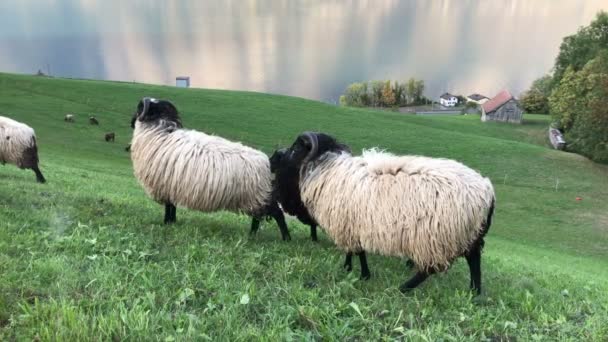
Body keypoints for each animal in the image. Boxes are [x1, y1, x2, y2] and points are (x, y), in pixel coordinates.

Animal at [128, 96, 292, 240]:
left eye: (139, 109)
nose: (131, 122)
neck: (160, 131)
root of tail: (266, 162)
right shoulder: (171, 186)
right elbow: (172, 206)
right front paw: (172, 222)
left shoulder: (165, 184)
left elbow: (169, 207)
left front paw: (167, 223)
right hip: (255, 197)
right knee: (258, 217)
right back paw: (252, 235)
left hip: (258, 194)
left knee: (277, 213)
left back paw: (285, 238)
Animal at [276, 132, 494, 294]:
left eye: (295, 149)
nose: (277, 154)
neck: (329, 170)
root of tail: (486, 189)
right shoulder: (352, 225)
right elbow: (356, 251)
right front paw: (355, 271)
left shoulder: (347, 224)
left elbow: (355, 251)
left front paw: (357, 272)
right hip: (467, 233)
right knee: (474, 259)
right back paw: (474, 292)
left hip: (437, 236)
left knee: (431, 268)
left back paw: (404, 288)